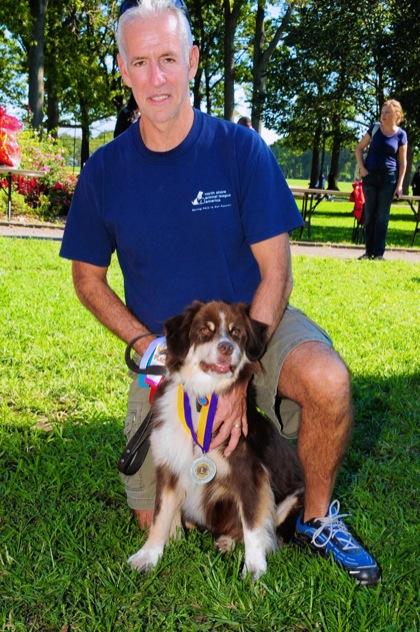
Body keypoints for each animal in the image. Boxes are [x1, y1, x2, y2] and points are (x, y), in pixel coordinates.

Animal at [128, 300, 302, 576]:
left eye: (236, 332)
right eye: (204, 331)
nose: (226, 348)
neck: (203, 398)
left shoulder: (250, 474)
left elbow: (253, 526)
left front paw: (254, 570)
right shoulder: (168, 467)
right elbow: (160, 516)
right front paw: (149, 555)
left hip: (292, 498)